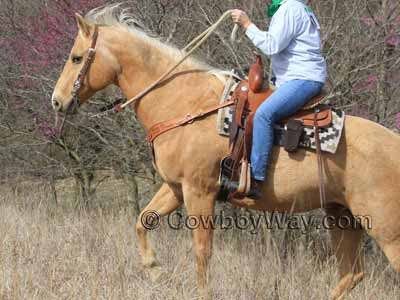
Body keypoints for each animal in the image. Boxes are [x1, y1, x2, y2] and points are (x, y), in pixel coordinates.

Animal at [52, 5, 400, 298]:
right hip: (342, 216)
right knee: (351, 274)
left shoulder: (199, 191)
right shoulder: (175, 188)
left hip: (385, 229)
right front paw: (155, 270)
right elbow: (143, 220)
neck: (183, 103)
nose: (56, 101)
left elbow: (202, 251)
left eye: (76, 58)